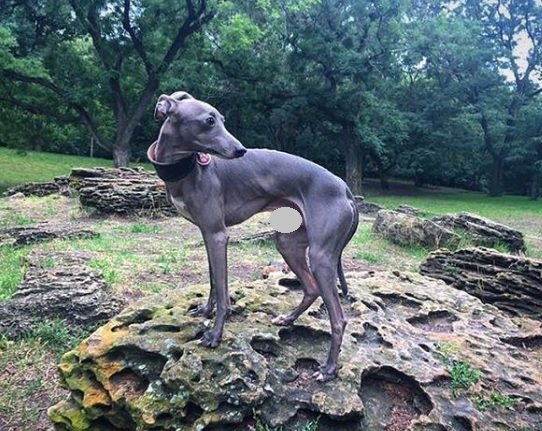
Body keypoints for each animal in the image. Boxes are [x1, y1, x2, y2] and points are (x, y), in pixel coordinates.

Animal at [149, 92, 360, 382]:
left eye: (221, 119)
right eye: (209, 120)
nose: (241, 151)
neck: (186, 169)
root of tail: (345, 188)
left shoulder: (217, 235)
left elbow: (223, 291)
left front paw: (215, 334)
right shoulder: (207, 234)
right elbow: (213, 281)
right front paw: (204, 311)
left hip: (321, 256)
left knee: (339, 318)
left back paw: (328, 368)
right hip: (289, 244)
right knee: (311, 288)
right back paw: (288, 319)